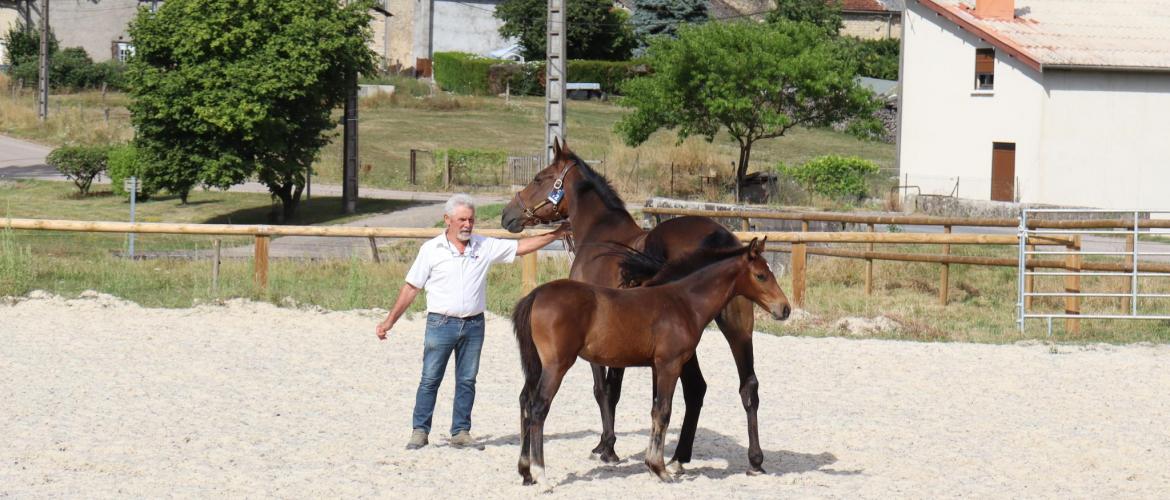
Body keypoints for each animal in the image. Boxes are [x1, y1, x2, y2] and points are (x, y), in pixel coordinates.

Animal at [510, 238, 790, 484]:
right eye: (761, 275)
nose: (784, 308)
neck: (683, 302)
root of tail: (536, 294)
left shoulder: (657, 366)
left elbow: (655, 411)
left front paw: (654, 465)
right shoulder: (670, 365)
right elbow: (664, 412)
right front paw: (659, 468)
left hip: (537, 365)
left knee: (525, 402)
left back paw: (525, 472)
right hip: (556, 365)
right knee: (538, 408)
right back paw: (541, 475)